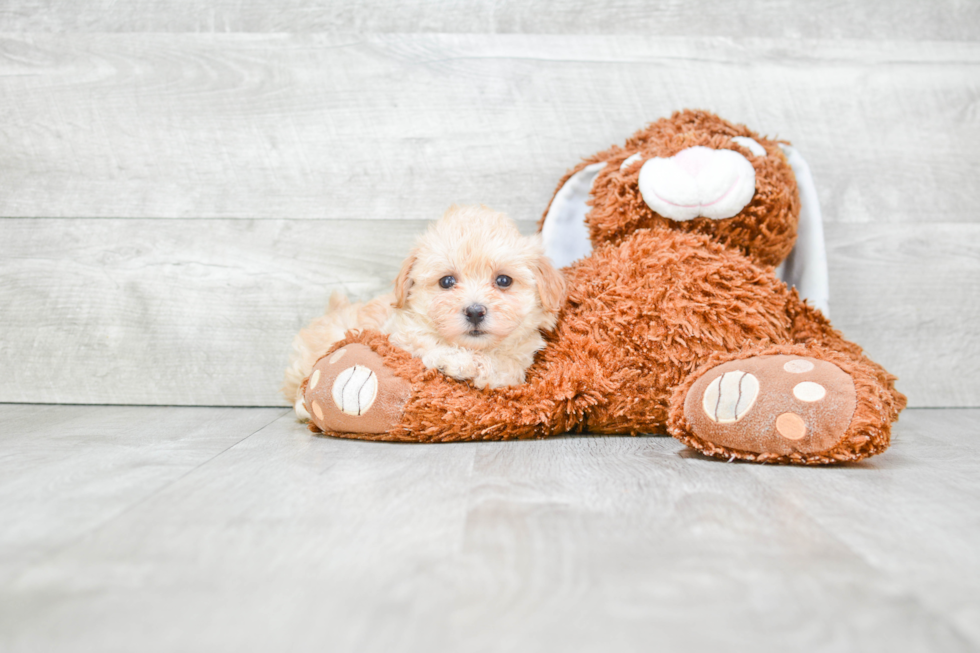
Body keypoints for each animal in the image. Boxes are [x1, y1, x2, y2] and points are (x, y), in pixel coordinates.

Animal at [280, 204, 568, 418]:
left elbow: (503, 367)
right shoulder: (401, 335)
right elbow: (427, 345)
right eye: (447, 281)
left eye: (504, 280)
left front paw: (472, 365)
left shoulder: (518, 363)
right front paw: (456, 361)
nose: (475, 311)